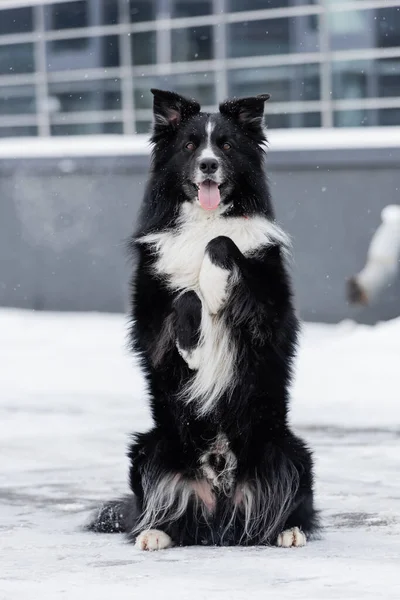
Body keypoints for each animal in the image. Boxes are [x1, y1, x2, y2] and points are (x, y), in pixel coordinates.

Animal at [87, 86, 318, 552]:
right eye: (190, 146)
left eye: (226, 146)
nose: (209, 164)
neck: (203, 218)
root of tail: (219, 511)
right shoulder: (150, 318)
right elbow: (183, 299)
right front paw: (194, 347)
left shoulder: (269, 311)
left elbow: (222, 243)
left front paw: (215, 287)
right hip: (150, 447)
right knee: (167, 512)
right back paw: (155, 532)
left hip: (289, 449)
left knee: (286, 505)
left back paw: (288, 531)